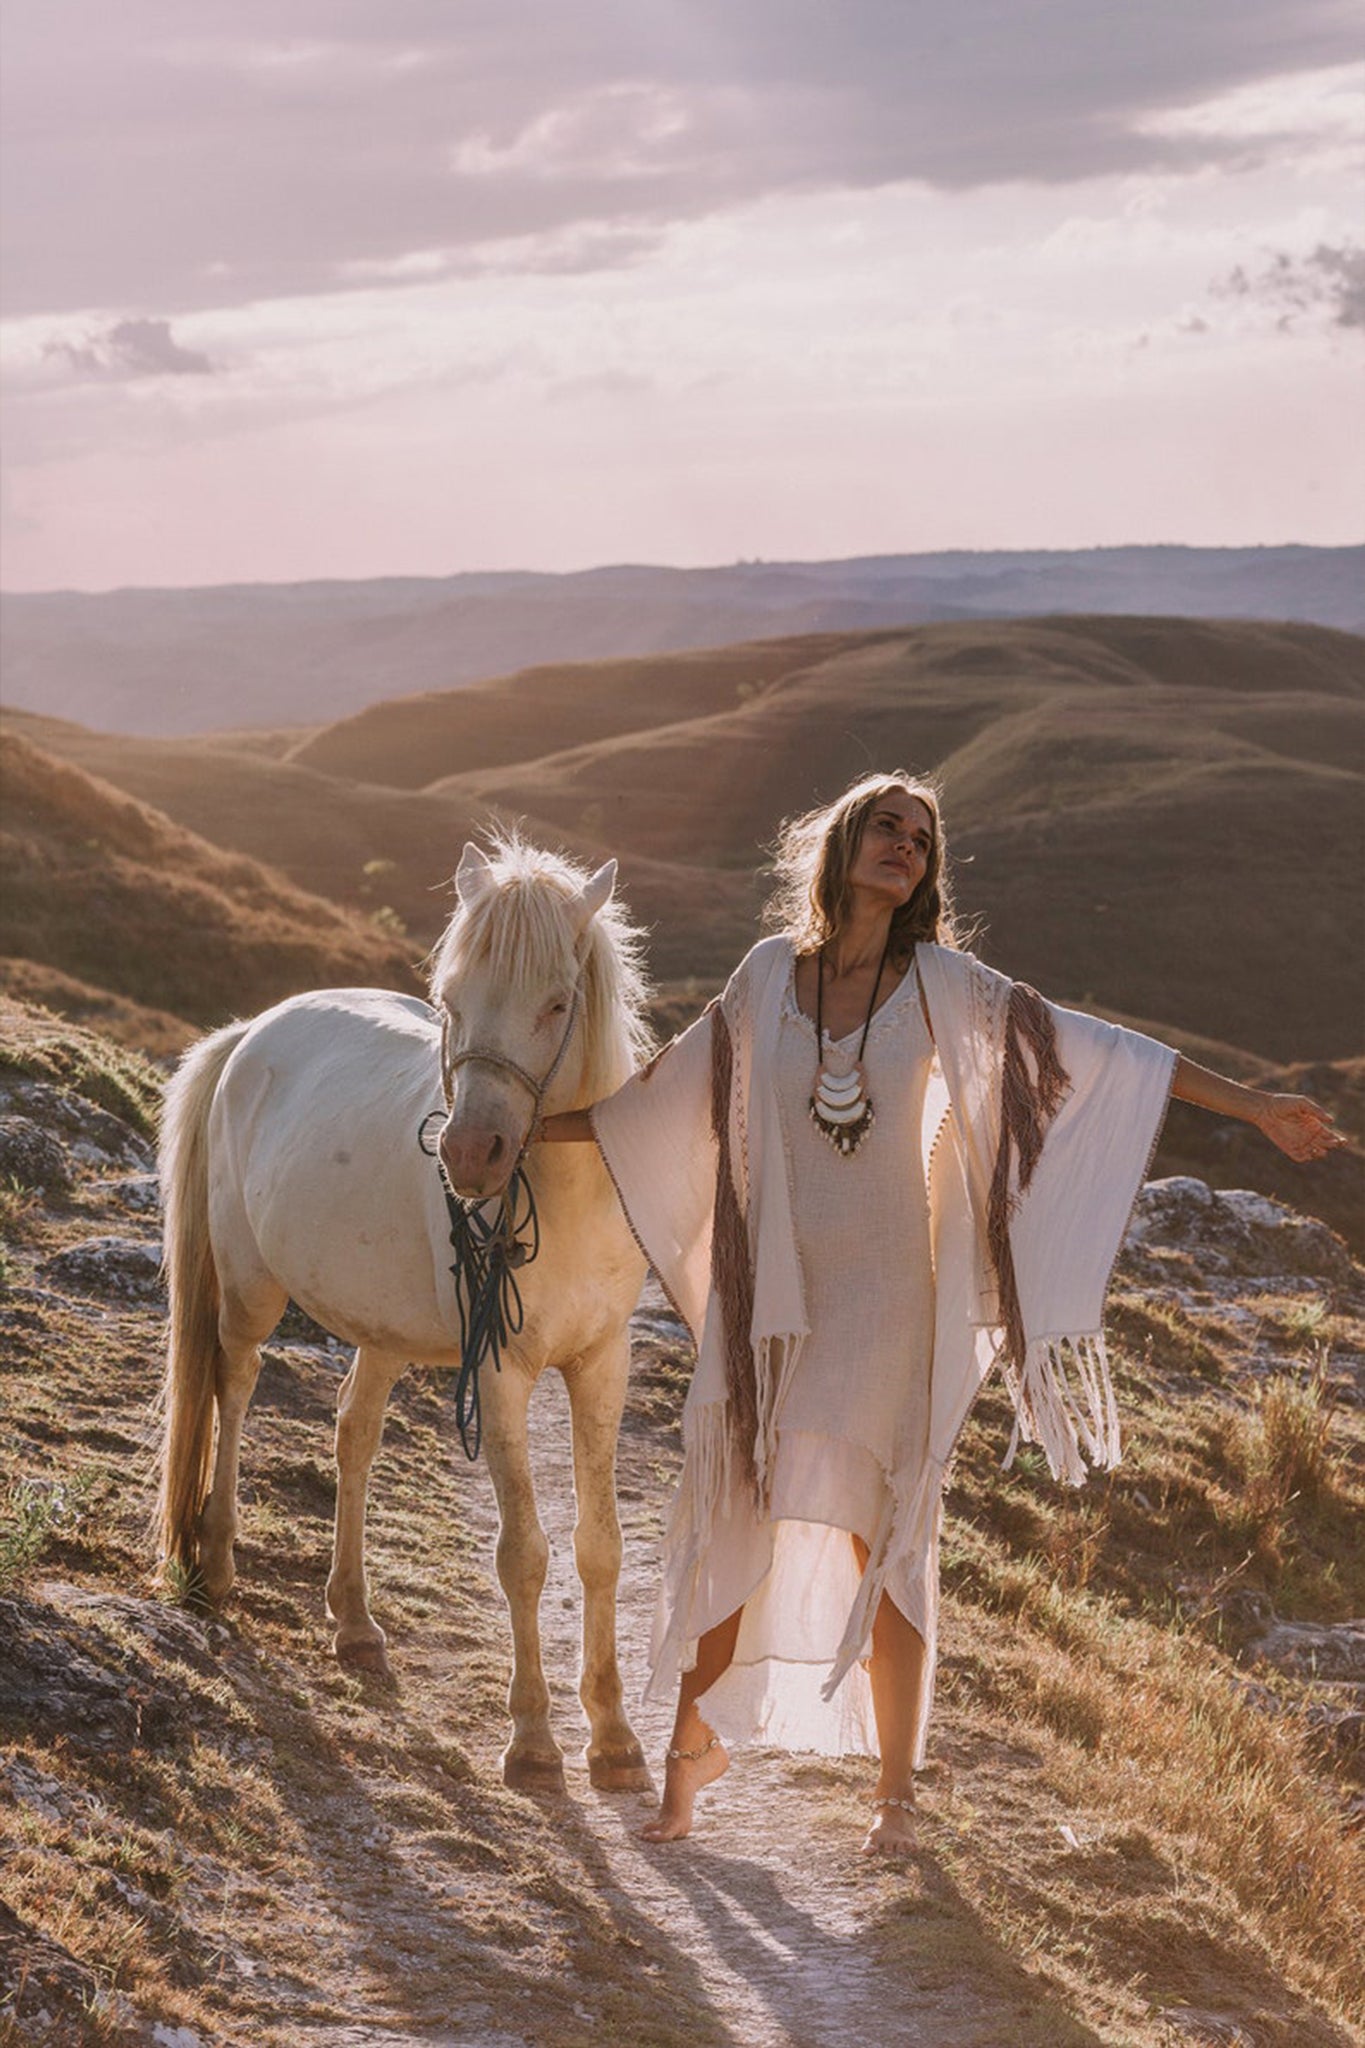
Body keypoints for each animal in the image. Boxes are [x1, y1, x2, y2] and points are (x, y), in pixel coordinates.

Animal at [152, 831, 654, 1794]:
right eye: (449, 1000)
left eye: (557, 1003)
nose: (469, 1154)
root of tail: (251, 1033)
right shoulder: (500, 1374)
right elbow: (523, 1553)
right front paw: (532, 1740)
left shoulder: (601, 1363)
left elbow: (600, 1547)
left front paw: (613, 1738)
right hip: (248, 1293)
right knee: (233, 1388)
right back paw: (219, 1564)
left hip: (378, 1331)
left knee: (353, 1434)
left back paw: (353, 1621)